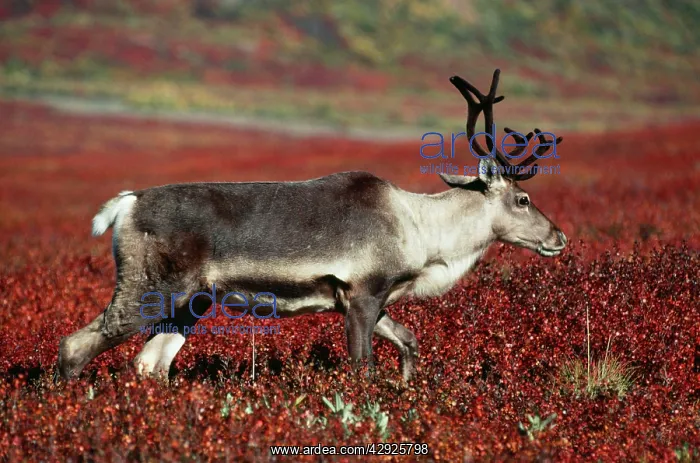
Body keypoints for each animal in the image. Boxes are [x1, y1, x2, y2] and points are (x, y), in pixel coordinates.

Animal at [56, 69, 566, 383]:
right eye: (523, 199)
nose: (559, 237)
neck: (423, 234)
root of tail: (125, 204)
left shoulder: (369, 300)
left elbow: (409, 343)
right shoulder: (362, 294)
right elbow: (363, 368)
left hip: (189, 302)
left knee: (149, 365)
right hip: (148, 288)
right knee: (75, 345)